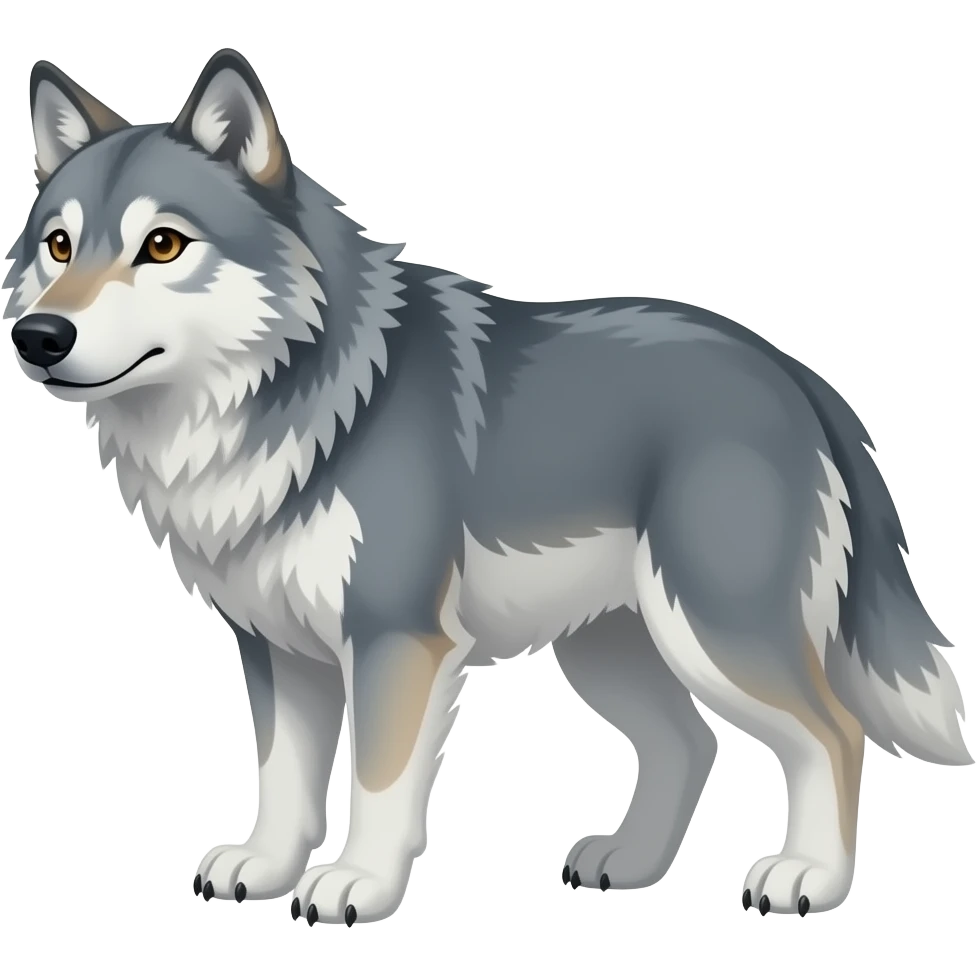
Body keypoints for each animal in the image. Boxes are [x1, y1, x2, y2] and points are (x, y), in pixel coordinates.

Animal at [4, 48, 972, 926]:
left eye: (162, 245)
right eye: (58, 245)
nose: (38, 336)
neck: (297, 398)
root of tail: (795, 374)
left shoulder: (395, 639)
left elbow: (377, 779)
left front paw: (357, 885)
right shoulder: (278, 648)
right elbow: (282, 777)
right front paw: (266, 868)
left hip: (714, 630)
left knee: (834, 733)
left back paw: (807, 877)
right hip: (611, 646)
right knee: (690, 742)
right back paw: (629, 863)